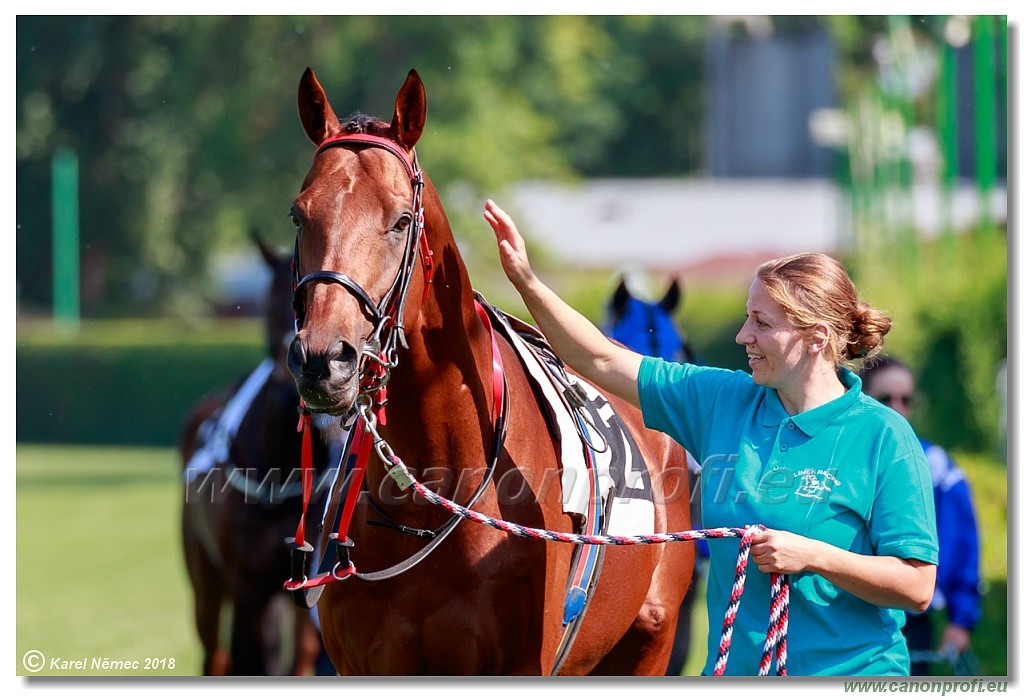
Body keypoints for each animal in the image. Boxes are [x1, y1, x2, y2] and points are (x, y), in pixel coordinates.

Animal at [179, 232, 339, 675]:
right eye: (270, 306)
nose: (308, 373)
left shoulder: (305, 581)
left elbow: (301, 656)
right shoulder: (249, 585)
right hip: (204, 579)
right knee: (214, 652)